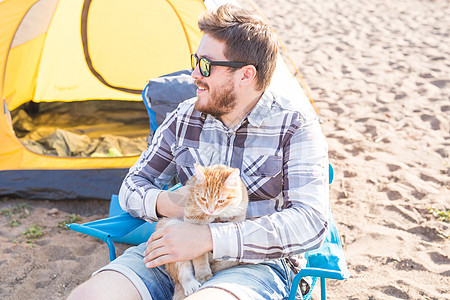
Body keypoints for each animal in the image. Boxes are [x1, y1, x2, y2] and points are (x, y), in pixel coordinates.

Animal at [157, 164, 250, 300]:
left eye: (221, 201)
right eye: (203, 199)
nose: (210, 211)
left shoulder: (238, 219)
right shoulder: (193, 223)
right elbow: (199, 256)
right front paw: (203, 273)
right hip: (170, 227)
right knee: (182, 272)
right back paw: (191, 283)